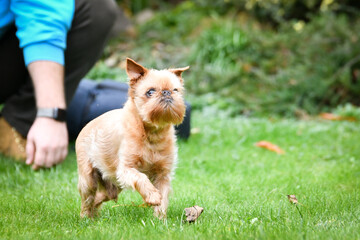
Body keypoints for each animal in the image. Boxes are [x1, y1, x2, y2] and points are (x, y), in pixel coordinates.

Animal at [75, 58, 190, 219]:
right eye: (150, 91)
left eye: (176, 90)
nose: (167, 92)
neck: (152, 134)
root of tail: (86, 126)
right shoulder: (126, 169)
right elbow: (141, 178)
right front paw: (153, 196)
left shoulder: (163, 175)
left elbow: (163, 198)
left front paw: (160, 219)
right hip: (88, 178)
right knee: (88, 199)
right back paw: (85, 217)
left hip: (113, 186)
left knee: (100, 196)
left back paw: (94, 216)